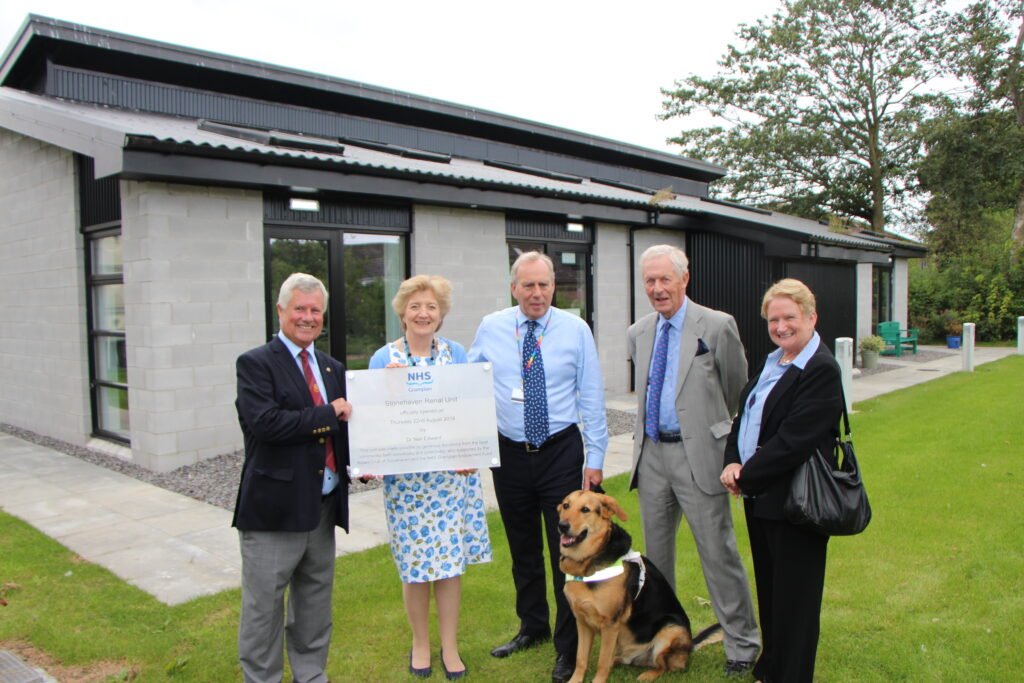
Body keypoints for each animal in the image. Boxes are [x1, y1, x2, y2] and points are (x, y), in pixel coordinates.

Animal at [561, 491, 720, 683]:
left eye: (585, 509)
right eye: (566, 506)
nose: (562, 526)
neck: (586, 565)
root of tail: (690, 646)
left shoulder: (610, 624)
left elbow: (601, 661)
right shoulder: (582, 621)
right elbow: (581, 658)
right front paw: (575, 680)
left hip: (670, 629)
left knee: (664, 666)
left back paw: (648, 675)